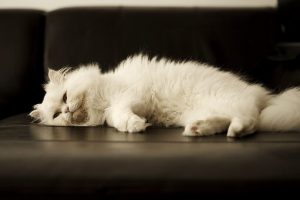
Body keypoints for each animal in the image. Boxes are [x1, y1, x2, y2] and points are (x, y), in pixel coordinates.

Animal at [29, 54, 300, 137]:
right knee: (233, 120)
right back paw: (198, 129)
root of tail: (265, 96)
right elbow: (116, 119)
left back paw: (234, 132)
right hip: (206, 110)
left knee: (250, 121)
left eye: (65, 98)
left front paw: (135, 124)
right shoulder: (113, 111)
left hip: (228, 102)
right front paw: (134, 125)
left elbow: (119, 110)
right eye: (57, 115)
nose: (67, 111)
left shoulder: (130, 95)